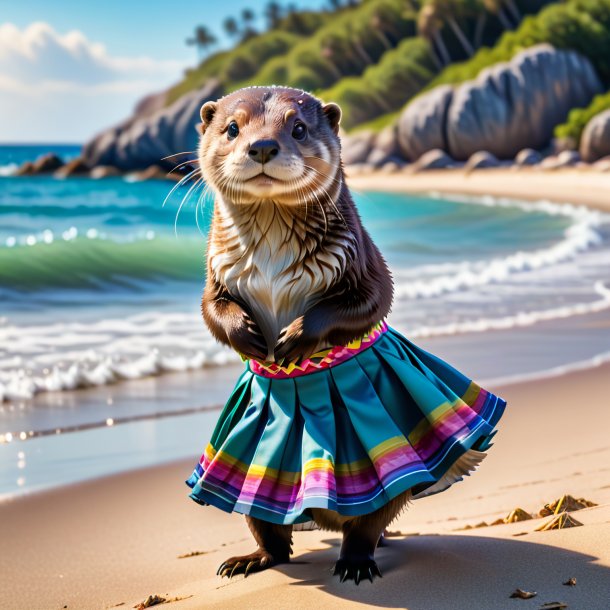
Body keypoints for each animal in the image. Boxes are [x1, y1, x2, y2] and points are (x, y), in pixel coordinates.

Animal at [189, 83, 504, 580]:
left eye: (298, 128)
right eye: (232, 128)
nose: (262, 146)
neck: (272, 264)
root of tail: (325, 520)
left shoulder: (362, 261)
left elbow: (371, 302)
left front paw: (294, 338)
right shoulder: (215, 274)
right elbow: (210, 309)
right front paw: (250, 336)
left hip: (389, 482)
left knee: (371, 521)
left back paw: (355, 562)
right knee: (270, 532)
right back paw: (248, 559)